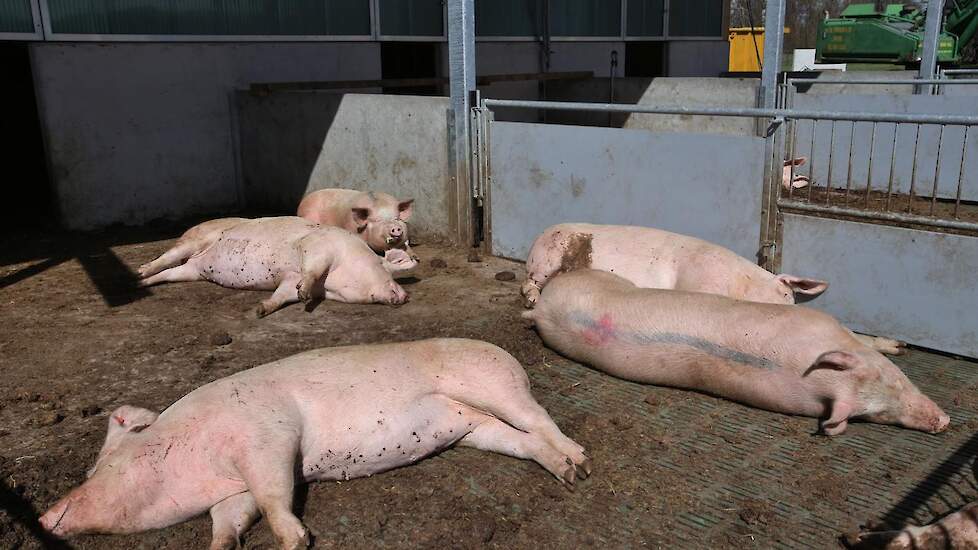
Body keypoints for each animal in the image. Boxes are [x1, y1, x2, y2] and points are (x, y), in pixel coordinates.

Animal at [38, 340, 588, 550]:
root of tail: (508, 354)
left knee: (540, 419)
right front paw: (221, 545)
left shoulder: (269, 436)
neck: (201, 454)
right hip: (473, 428)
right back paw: (566, 473)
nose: (43, 516)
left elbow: (274, 494)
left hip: (494, 385)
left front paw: (294, 540)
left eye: (100, 466)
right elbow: (233, 517)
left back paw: (581, 465)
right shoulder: (232, 488)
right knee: (520, 441)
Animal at [137, 217, 412, 316]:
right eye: (387, 270)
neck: (332, 282)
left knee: (169, 273)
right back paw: (140, 273)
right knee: (164, 259)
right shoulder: (317, 247)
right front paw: (304, 295)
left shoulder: (288, 280)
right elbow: (311, 270)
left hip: (193, 271)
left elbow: (282, 295)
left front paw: (261, 309)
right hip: (193, 242)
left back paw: (143, 284)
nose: (406, 296)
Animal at [524, 224, 904, 358]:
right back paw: (531, 296)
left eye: (789, 298)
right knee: (529, 283)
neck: (739, 284)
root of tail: (539, 235)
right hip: (545, 260)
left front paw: (895, 347)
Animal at [524, 270, 948, 438]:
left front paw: (898, 345)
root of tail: (541, 309)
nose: (943, 422)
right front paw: (897, 344)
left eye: (895, 380)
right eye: (879, 413)